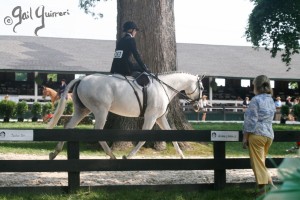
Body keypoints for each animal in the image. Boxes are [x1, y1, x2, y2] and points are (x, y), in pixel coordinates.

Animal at [47, 72, 204, 159]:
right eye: (202, 87)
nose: (199, 107)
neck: (163, 87)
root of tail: (81, 79)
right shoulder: (151, 117)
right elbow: (142, 139)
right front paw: (127, 156)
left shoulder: (160, 118)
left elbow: (173, 136)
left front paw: (182, 156)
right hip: (100, 111)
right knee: (97, 132)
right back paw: (112, 156)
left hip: (82, 110)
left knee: (68, 127)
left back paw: (54, 153)